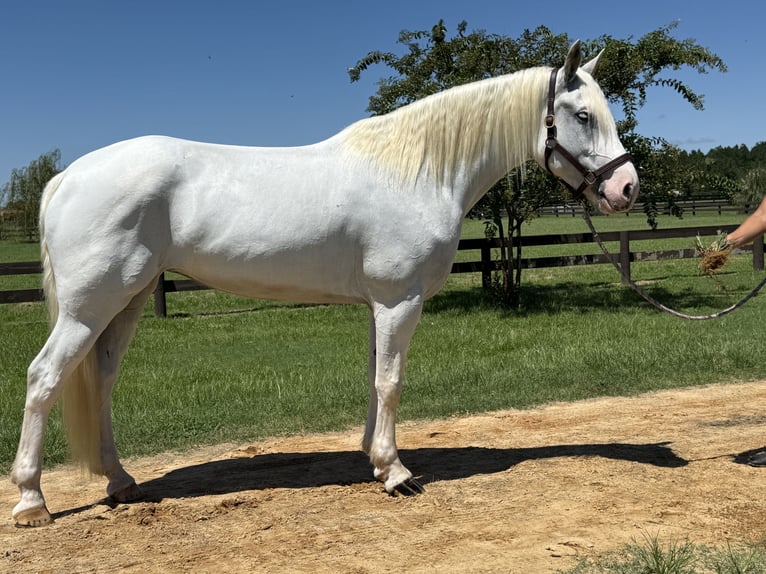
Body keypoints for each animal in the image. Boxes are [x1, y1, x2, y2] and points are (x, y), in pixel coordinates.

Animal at [11, 41, 638, 526]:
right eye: (582, 115)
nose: (626, 188)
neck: (419, 172)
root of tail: (67, 177)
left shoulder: (379, 305)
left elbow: (375, 379)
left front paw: (374, 458)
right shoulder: (399, 301)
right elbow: (391, 382)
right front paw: (398, 474)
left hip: (128, 300)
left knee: (101, 379)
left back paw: (119, 482)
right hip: (90, 307)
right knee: (44, 377)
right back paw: (31, 501)